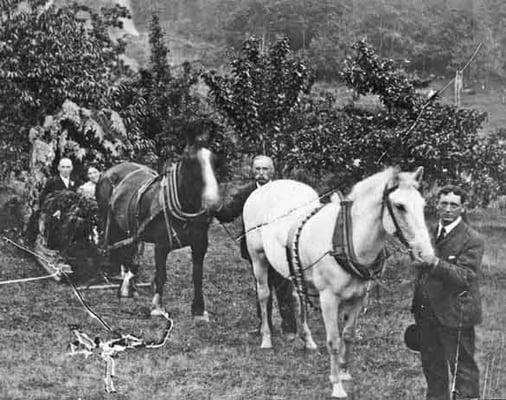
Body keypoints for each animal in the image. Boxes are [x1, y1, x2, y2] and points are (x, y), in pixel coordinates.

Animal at [96, 123, 220, 320]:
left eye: (215, 161)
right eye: (190, 162)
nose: (212, 203)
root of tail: (109, 171)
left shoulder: (200, 244)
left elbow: (197, 276)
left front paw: (199, 310)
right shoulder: (161, 246)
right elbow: (161, 275)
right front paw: (156, 308)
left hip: (129, 228)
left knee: (129, 251)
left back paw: (128, 285)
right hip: (107, 219)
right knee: (114, 247)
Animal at [243, 166, 432, 396]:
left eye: (423, 205)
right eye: (400, 206)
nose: (426, 255)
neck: (347, 239)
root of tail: (265, 186)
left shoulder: (359, 297)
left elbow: (348, 335)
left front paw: (344, 372)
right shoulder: (329, 300)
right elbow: (333, 341)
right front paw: (337, 386)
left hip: (297, 272)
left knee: (298, 298)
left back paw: (308, 340)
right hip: (258, 258)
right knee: (264, 295)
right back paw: (266, 339)